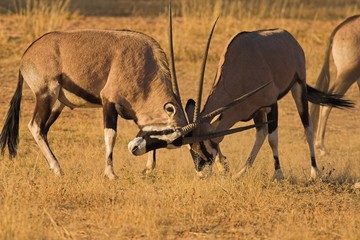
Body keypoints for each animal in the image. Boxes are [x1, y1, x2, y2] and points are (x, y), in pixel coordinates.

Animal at [129, 26, 352, 180]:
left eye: (205, 149)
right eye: (190, 149)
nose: (202, 174)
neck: (241, 68)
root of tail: (288, 36)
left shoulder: (271, 104)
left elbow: (273, 139)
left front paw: (278, 175)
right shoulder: (253, 109)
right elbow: (259, 135)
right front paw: (227, 169)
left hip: (298, 86)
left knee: (307, 127)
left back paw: (315, 172)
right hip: (258, 111)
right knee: (260, 134)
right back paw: (242, 172)